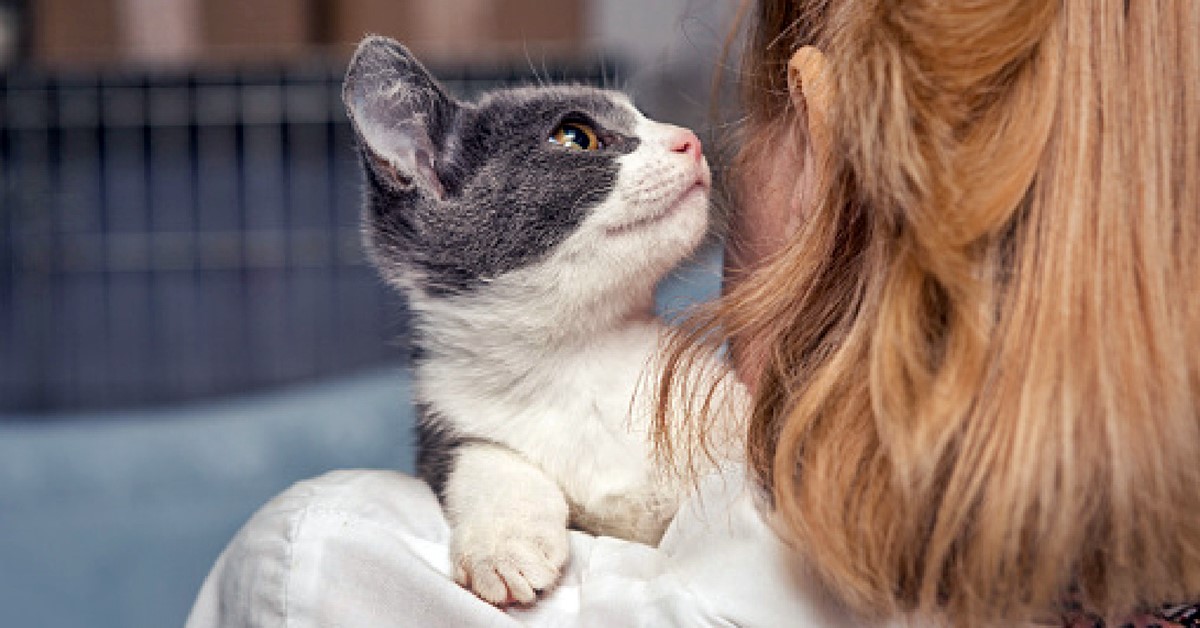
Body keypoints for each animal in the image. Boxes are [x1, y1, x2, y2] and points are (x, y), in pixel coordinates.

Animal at [343, 36, 744, 607]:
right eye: (575, 136)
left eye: (645, 115)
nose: (688, 141)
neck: (582, 357)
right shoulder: (450, 420)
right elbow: (483, 460)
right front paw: (502, 546)